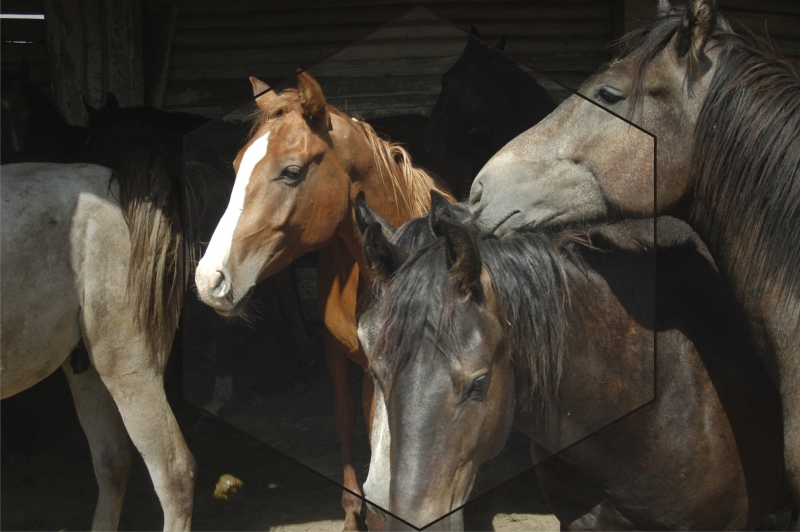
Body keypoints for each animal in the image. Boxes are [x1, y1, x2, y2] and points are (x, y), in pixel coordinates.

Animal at [193, 71, 455, 529]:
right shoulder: (346, 355)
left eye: (292, 171)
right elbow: (348, 418)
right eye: (237, 166)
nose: (210, 280)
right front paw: (356, 512)